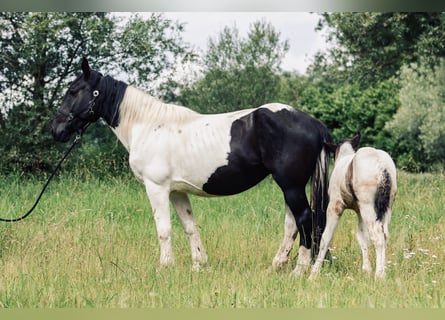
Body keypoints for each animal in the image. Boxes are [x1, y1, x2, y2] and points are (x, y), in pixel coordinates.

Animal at [51, 58, 330, 276]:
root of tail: (313, 123)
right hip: (289, 186)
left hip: (291, 185)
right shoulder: (177, 191)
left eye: (74, 91)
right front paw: (199, 265)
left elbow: (164, 229)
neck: (148, 125)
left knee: (304, 219)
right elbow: (189, 227)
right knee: (291, 224)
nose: (56, 130)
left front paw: (165, 267)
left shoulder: (157, 188)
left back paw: (298, 270)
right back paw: (277, 265)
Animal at [308, 134, 396, 278]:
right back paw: (382, 272)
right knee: (385, 235)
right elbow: (362, 237)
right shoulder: (359, 212)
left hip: (368, 207)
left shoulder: (335, 206)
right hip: (385, 209)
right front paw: (366, 270)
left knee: (378, 236)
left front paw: (314, 273)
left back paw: (379, 275)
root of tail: (382, 168)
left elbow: (326, 237)